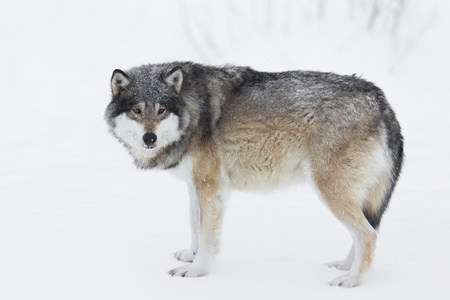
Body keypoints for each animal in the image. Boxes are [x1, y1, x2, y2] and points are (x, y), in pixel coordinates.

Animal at [104, 61, 404, 288]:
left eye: (161, 110)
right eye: (137, 110)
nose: (150, 138)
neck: (192, 109)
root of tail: (379, 98)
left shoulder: (209, 185)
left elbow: (204, 232)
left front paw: (197, 271)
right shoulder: (197, 185)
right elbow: (193, 224)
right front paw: (191, 255)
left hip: (329, 190)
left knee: (368, 235)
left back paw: (352, 280)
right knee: (366, 229)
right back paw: (344, 265)